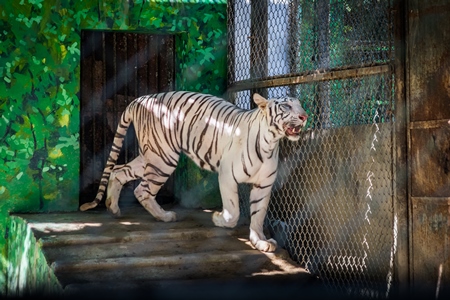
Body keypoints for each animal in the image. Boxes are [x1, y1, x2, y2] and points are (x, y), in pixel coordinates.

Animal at [79, 91, 308, 251]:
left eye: (300, 104)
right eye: (287, 105)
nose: (304, 116)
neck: (270, 142)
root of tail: (139, 100)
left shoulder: (264, 185)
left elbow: (258, 216)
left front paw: (259, 241)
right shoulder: (227, 176)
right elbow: (233, 212)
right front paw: (218, 218)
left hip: (150, 155)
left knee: (118, 171)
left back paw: (113, 208)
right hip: (163, 158)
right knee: (141, 190)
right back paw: (165, 216)